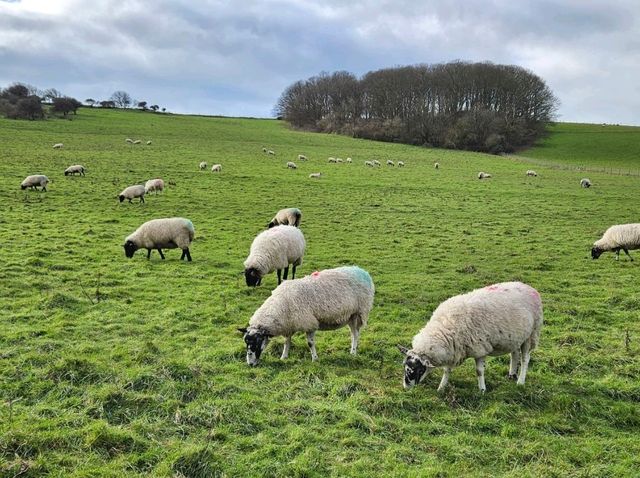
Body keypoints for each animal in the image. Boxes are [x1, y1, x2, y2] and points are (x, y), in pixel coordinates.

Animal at [239, 266, 376, 366]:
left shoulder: (309, 323)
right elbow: (287, 342)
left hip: (359, 312)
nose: (250, 364)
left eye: (256, 342)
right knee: (353, 334)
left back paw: (353, 352)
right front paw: (284, 356)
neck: (281, 305)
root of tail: (363, 271)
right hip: (350, 316)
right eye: (246, 343)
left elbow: (310, 343)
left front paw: (314, 359)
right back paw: (352, 350)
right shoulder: (289, 324)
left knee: (356, 335)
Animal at [398, 280, 544, 392]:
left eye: (418, 370)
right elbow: (447, 370)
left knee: (525, 359)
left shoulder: (480, 348)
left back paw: (520, 381)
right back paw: (512, 374)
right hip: (515, 336)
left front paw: (482, 390)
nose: (406, 387)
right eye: (405, 366)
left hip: (531, 334)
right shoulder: (453, 349)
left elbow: (479, 371)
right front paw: (441, 388)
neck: (446, 328)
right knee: (514, 354)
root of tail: (528, 286)